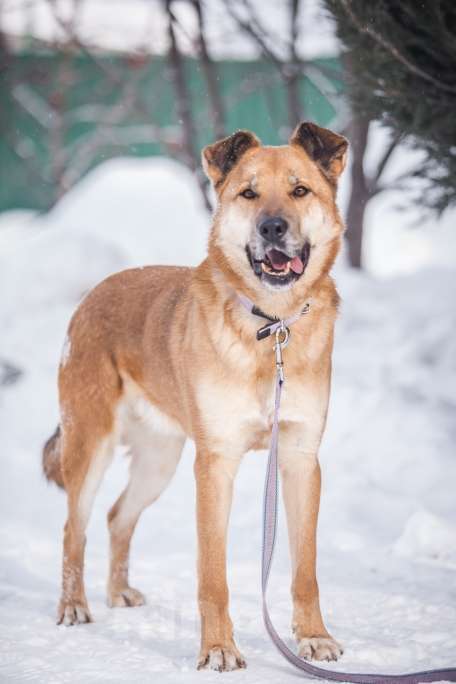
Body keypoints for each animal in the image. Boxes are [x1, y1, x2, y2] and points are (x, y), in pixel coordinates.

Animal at [42, 120, 350, 672]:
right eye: (249, 193)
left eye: (300, 191)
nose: (273, 228)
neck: (270, 327)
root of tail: (92, 294)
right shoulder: (215, 465)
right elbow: (213, 575)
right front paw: (219, 648)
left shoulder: (299, 460)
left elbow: (305, 569)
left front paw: (313, 638)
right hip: (90, 446)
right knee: (73, 529)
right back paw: (74, 605)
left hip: (159, 460)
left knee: (118, 516)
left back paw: (118, 592)